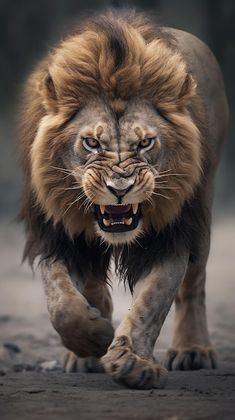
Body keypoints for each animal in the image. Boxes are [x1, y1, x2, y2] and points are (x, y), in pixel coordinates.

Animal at [18, 8, 228, 388]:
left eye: (145, 143)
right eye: (91, 143)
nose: (120, 188)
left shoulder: (171, 234)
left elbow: (152, 302)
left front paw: (132, 363)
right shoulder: (55, 231)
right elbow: (61, 302)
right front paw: (94, 337)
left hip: (202, 209)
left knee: (194, 285)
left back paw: (193, 351)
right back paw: (85, 349)